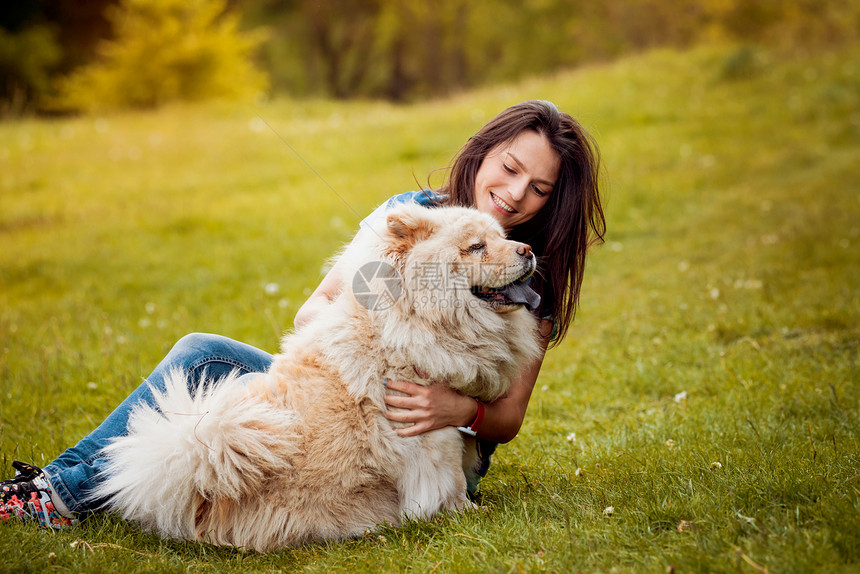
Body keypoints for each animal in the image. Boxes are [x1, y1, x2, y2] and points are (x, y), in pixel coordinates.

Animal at [94, 206, 536, 552]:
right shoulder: (432, 435)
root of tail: (203, 486)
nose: (528, 250)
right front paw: (470, 514)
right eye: (476, 246)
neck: (416, 321)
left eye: (502, 237)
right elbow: (451, 486)